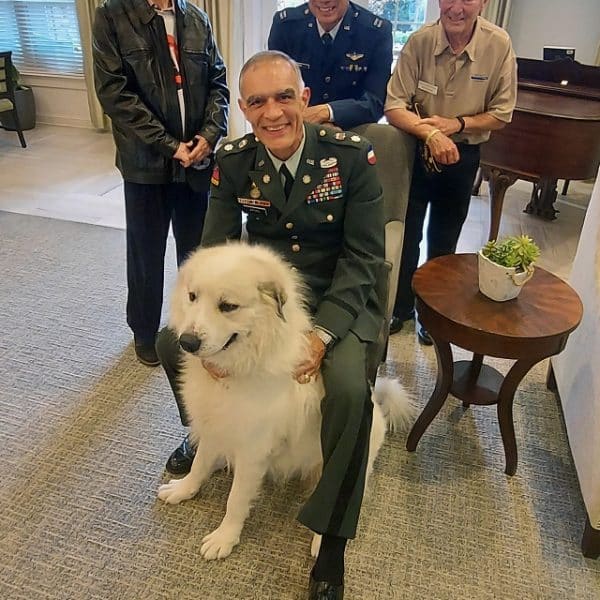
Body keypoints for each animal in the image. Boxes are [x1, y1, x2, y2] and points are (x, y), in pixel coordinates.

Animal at [159, 241, 412, 560]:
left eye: (228, 306)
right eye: (192, 297)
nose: (187, 342)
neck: (241, 366)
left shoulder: (253, 449)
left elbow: (235, 500)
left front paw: (224, 537)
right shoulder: (216, 423)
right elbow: (200, 463)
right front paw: (184, 489)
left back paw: (321, 541)